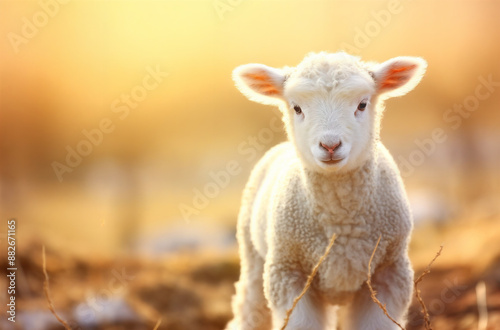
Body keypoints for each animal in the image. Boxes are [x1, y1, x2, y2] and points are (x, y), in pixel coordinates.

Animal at [227, 51, 426, 330]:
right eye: (297, 108)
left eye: (362, 104)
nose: (330, 145)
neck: (341, 224)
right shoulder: (289, 274)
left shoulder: (388, 272)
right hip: (253, 253)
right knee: (250, 306)